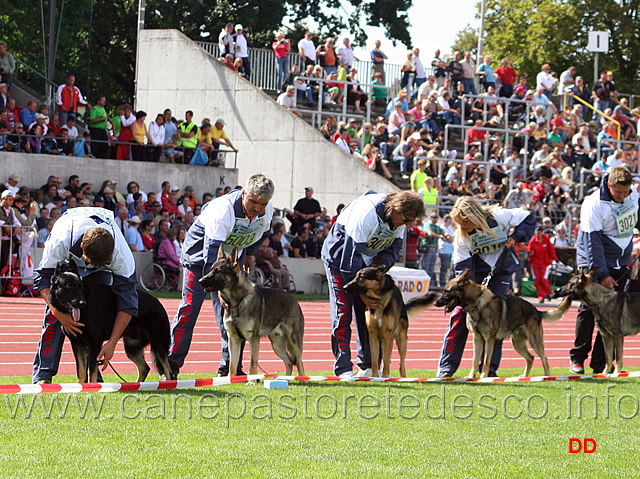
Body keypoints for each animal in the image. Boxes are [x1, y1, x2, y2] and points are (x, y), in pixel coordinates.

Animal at [48, 260, 179, 384]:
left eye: (80, 286)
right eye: (69, 286)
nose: (82, 303)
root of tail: (159, 304)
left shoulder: (94, 344)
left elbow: (91, 371)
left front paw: (91, 387)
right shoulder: (77, 344)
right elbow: (81, 371)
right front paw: (81, 386)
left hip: (158, 345)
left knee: (168, 371)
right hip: (132, 348)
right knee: (145, 368)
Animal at [200, 248, 304, 378]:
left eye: (217, 271)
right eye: (210, 269)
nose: (200, 280)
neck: (236, 303)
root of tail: (294, 300)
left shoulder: (253, 340)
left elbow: (252, 363)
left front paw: (252, 380)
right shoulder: (233, 339)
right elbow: (232, 365)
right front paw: (230, 379)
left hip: (294, 341)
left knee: (299, 362)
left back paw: (303, 379)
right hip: (277, 345)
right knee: (289, 362)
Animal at [432, 270, 572, 378]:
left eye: (446, 291)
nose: (435, 303)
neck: (477, 304)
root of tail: (536, 310)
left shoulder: (489, 340)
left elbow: (486, 361)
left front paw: (483, 377)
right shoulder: (477, 339)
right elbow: (475, 361)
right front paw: (471, 376)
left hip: (535, 342)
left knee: (544, 359)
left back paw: (547, 377)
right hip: (517, 344)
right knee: (531, 358)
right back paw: (525, 376)